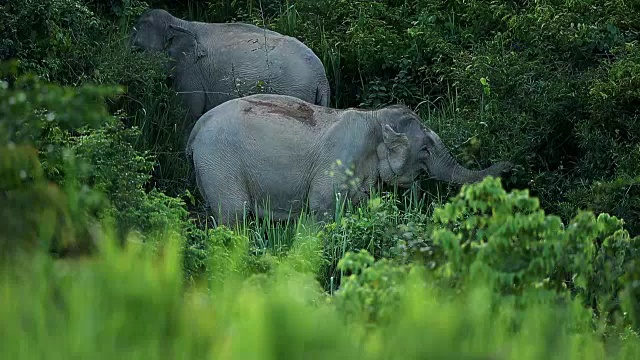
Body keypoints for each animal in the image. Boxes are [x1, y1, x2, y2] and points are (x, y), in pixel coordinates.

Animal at [186, 94, 516, 226]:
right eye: (425, 149)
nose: (511, 165)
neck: (375, 117)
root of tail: (195, 129)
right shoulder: (339, 161)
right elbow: (320, 207)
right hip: (220, 163)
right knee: (234, 214)